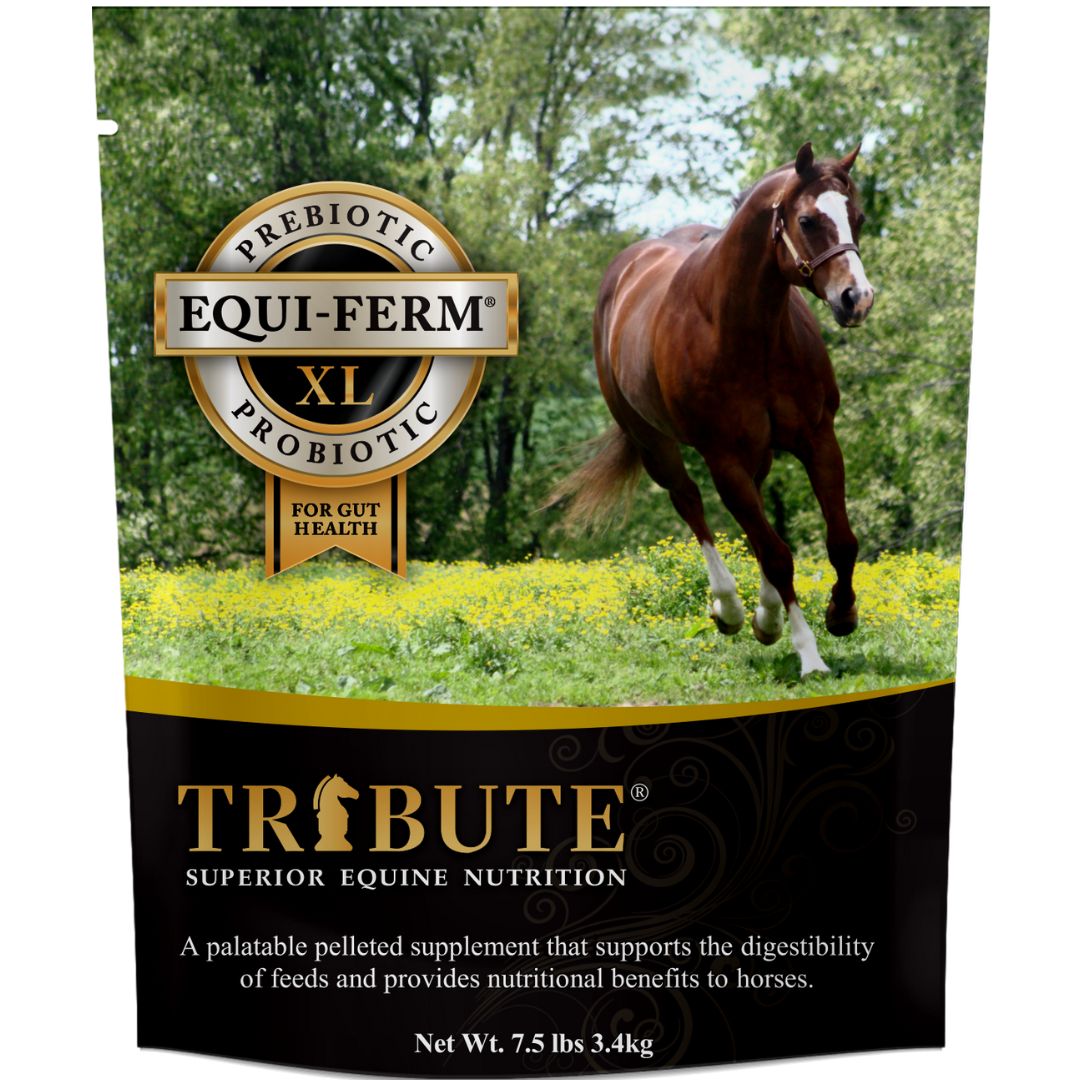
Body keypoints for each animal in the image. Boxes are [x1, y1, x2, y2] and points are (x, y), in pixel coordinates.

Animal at [553, 142, 874, 678]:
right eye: (807, 220)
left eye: (858, 217)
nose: (857, 298)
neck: (747, 332)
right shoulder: (722, 459)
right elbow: (777, 554)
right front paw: (808, 654)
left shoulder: (818, 440)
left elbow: (839, 540)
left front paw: (841, 613)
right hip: (654, 444)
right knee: (690, 503)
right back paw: (730, 609)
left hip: (756, 453)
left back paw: (765, 616)